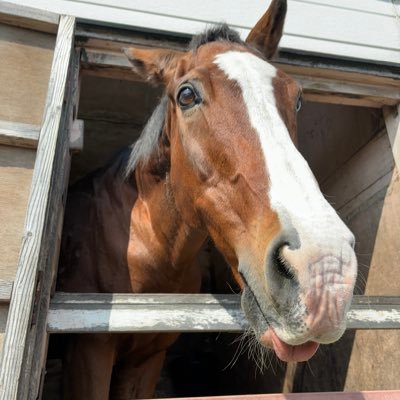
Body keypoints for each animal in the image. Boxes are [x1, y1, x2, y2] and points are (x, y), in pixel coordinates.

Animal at [56, 1, 356, 398]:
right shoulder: (88, 353)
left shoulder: (147, 360)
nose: (324, 272)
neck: (147, 244)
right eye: (186, 96)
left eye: (298, 99)